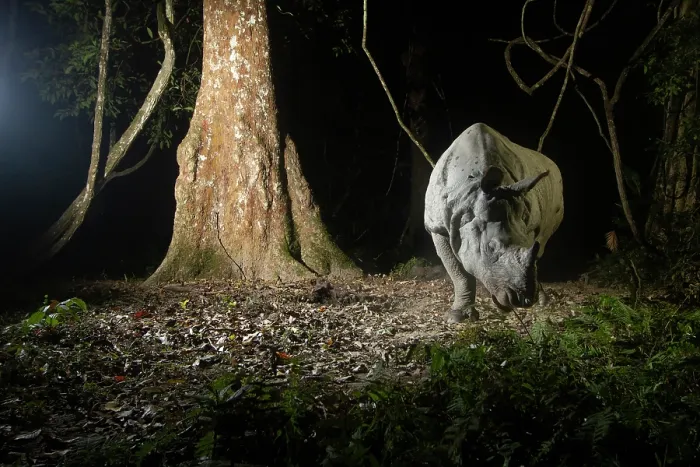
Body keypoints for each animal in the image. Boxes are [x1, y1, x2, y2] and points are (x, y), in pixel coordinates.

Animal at [424, 123, 564, 323]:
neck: (470, 194)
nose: (524, 300)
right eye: (491, 248)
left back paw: (544, 302)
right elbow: (458, 273)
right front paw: (457, 317)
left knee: (543, 241)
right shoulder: (437, 227)